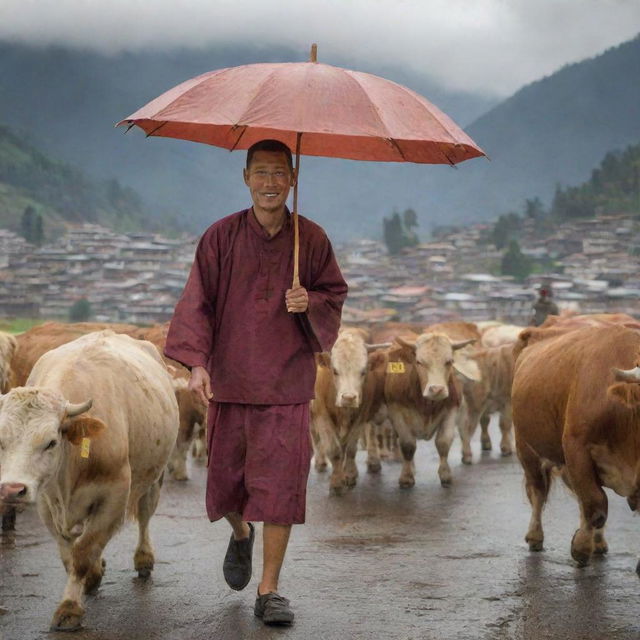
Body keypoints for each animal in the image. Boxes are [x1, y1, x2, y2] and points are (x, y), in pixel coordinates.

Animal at [0, 332, 178, 632]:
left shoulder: (114, 497)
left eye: (51, 442)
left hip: (154, 476)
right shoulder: (47, 501)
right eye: (0, 440)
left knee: (144, 515)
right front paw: (92, 576)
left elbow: (83, 552)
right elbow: (68, 553)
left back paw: (144, 558)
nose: (12, 489)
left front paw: (69, 608)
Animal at [308, 330, 384, 496]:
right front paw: (336, 483)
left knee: (370, 431)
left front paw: (348, 475)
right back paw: (320, 462)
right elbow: (334, 450)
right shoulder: (321, 415)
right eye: (335, 371)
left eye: (363, 371)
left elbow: (350, 448)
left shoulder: (361, 415)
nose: (348, 398)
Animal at [378, 332, 478, 488]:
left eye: (449, 361)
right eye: (419, 362)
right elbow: (408, 445)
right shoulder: (397, 412)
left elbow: (443, 442)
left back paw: (467, 455)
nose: (437, 389)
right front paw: (406, 477)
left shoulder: (451, 409)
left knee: (463, 428)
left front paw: (445, 474)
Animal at [512, 322, 640, 568]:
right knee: (538, 491)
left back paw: (598, 543)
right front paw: (580, 547)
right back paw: (535, 536)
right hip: (526, 448)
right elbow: (595, 505)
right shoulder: (576, 448)